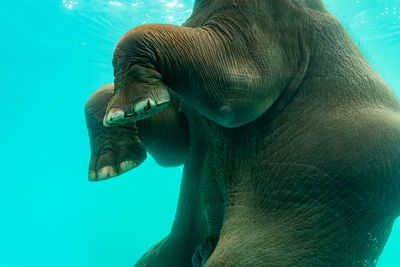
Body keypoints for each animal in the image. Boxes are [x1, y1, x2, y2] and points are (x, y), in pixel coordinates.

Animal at [84, 0, 400, 266]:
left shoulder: (267, 28)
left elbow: (236, 91)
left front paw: (132, 108)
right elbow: (174, 146)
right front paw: (112, 165)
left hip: (308, 211)